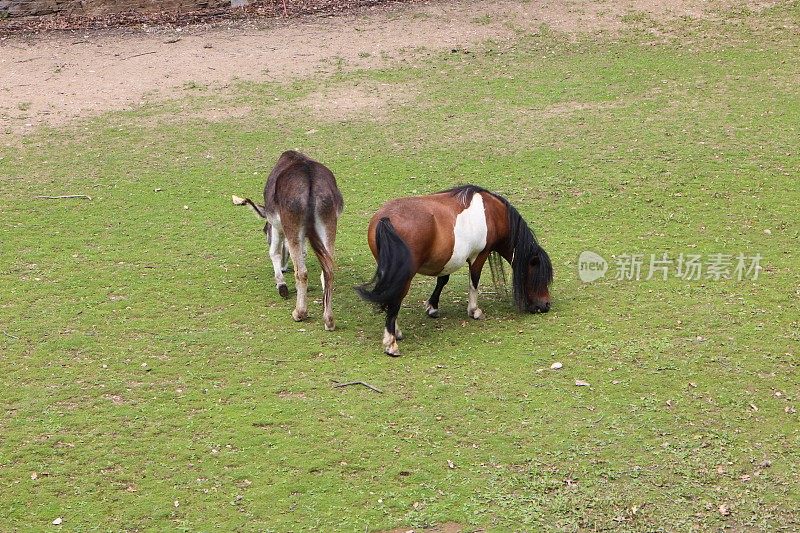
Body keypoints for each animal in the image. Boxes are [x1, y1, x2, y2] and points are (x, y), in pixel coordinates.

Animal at [233, 150, 342, 330]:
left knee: (302, 272)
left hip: (292, 226)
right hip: (329, 223)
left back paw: (299, 313)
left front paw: (281, 286)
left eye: (264, 231)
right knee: (328, 271)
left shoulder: (276, 226)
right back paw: (329, 320)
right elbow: (303, 254)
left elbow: (274, 253)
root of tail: (309, 178)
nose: (285, 269)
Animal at [356, 185, 552, 356]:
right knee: (395, 300)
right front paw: (474, 310)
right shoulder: (479, 255)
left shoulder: (449, 258)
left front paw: (432, 307)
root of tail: (386, 219)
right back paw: (391, 344)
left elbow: (443, 280)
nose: (546, 305)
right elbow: (474, 281)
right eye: (538, 277)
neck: (493, 213)